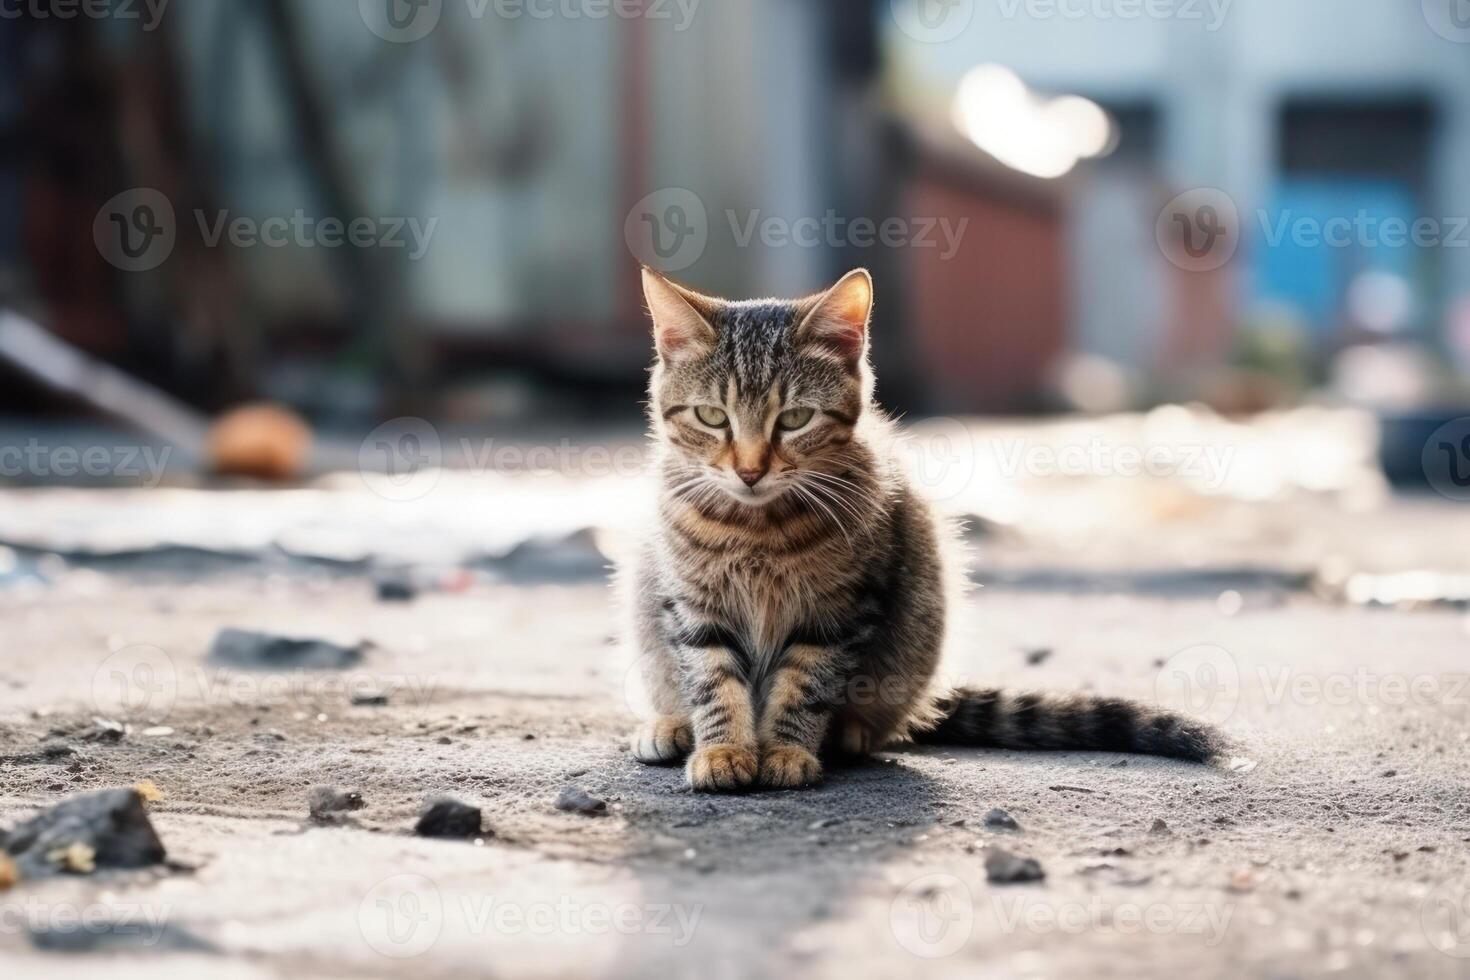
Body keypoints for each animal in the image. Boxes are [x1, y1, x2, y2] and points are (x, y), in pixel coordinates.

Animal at [626, 271, 1223, 793]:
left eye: (794, 419)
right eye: (712, 417)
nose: (749, 471)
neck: (755, 526)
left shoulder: (838, 609)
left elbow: (804, 685)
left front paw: (787, 749)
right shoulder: (692, 605)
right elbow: (711, 680)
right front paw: (724, 748)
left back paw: (850, 732)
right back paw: (669, 726)